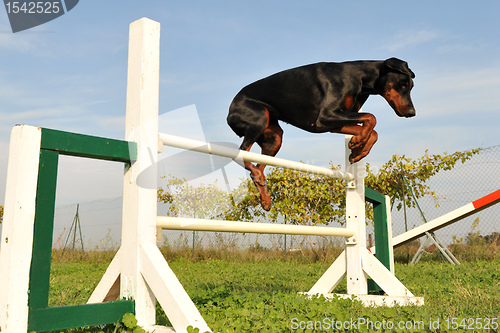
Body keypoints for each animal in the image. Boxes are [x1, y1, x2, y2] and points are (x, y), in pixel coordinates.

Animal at [227, 56, 414, 208]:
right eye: (402, 84)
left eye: (411, 86)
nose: (412, 113)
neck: (360, 77)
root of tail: (230, 111)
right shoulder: (326, 116)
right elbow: (371, 117)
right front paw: (359, 141)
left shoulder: (334, 122)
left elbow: (373, 130)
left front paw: (359, 149)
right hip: (259, 118)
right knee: (241, 152)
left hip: (274, 137)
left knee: (257, 166)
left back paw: (265, 197)